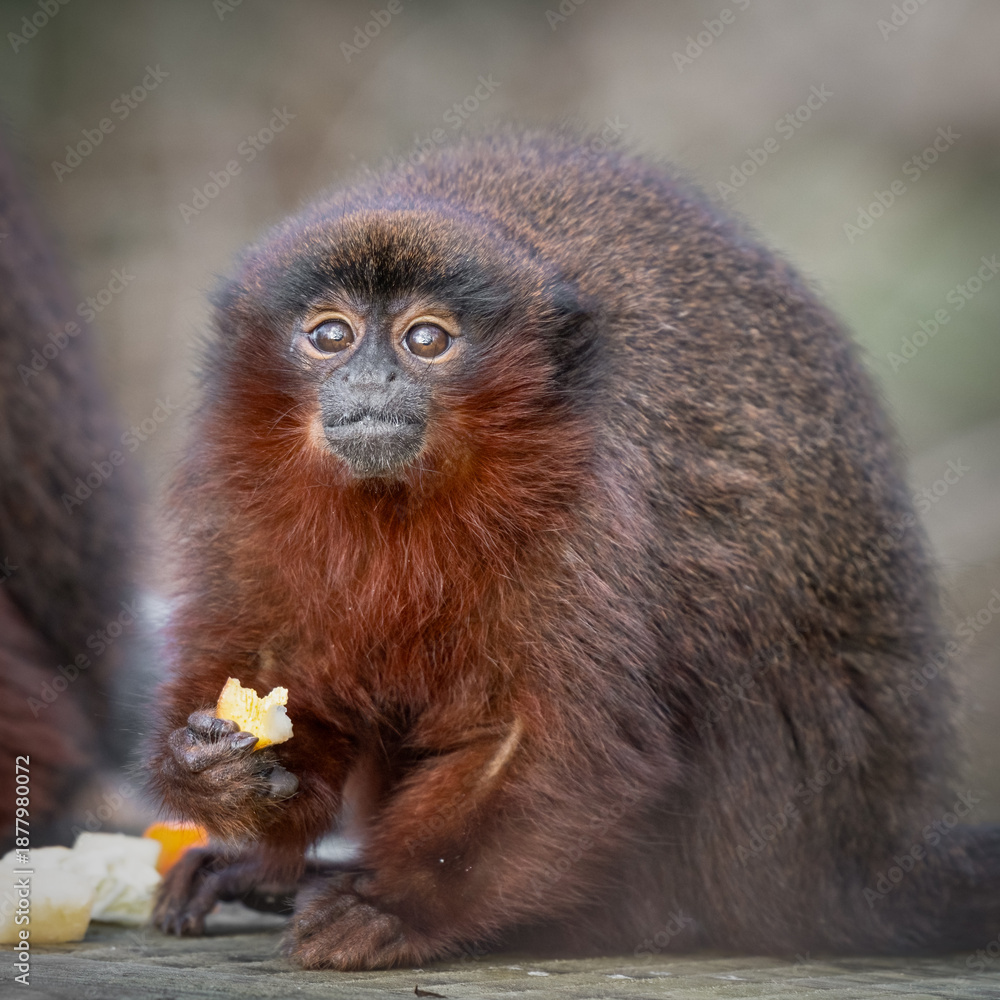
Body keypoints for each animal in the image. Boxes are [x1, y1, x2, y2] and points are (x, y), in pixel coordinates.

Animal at [148, 129, 1000, 969]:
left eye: (426, 339)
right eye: (331, 335)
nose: (370, 379)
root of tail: (866, 858)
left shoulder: (588, 495)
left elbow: (562, 743)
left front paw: (397, 907)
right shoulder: (242, 476)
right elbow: (281, 664)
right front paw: (221, 774)